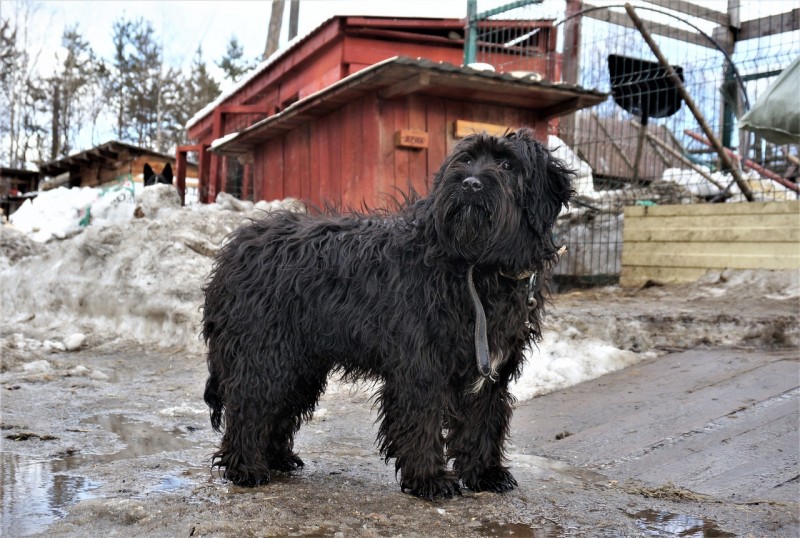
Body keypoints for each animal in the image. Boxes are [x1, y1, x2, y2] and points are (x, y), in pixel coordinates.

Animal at [203, 127, 572, 496]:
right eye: (466, 159)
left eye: (508, 164)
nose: (470, 184)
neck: (477, 265)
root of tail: (233, 251)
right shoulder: (420, 362)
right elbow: (421, 418)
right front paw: (429, 478)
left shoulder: (489, 368)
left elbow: (482, 420)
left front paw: (485, 473)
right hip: (266, 351)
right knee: (251, 404)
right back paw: (246, 468)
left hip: (301, 363)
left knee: (280, 407)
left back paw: (277, 458)